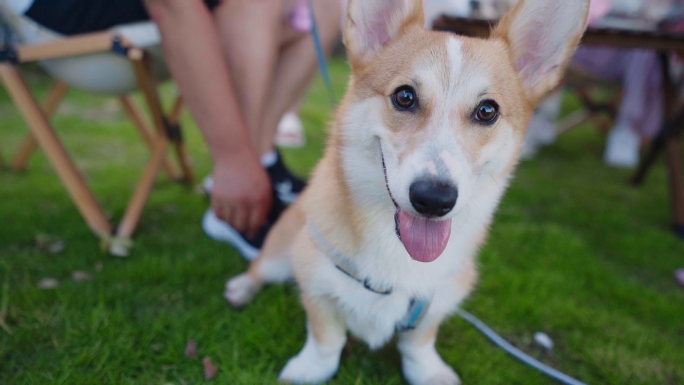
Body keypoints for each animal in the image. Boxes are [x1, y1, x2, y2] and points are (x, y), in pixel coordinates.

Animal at [226, 1, 588, 382]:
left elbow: (419, 342)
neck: (398, 251)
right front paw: (310, 369)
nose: (434, 199)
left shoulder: (440, 297)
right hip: (282, 251)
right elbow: (326, 337)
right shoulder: (315, 277)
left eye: (487, 110)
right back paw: (241, 287)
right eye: (404, 96)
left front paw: (428, 372)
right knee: (260, 267)